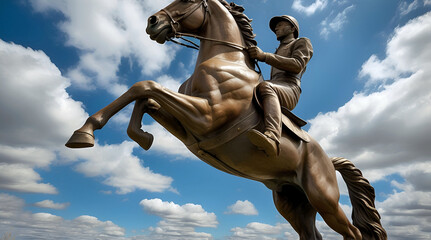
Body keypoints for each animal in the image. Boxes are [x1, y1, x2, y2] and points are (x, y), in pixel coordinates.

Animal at [66, 0, 388, 239]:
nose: (152, 22)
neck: (223, 59)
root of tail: (328, 160)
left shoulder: (207, 116)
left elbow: (145, 86)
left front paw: (85, 131)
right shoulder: (189, 129)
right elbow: (146, 97)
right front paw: (138, 135)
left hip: (324, 199)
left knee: (353, 233)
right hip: (293, 202)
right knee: (312, 235)